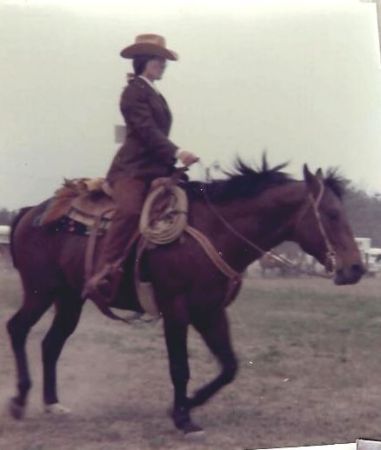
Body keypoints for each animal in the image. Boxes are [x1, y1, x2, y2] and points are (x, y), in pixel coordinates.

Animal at [5, 159, 362, 436]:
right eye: (331, 213)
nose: (356, 268)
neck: (214, 232)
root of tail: (31, 212)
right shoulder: (176, 307)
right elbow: (180, 366)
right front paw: (183, 418)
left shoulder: (210, 311)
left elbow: (229, 366)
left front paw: (186, 405)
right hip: (39, 291)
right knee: (17, 329)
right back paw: (19, 401)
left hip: (69, 299)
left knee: (51, 343)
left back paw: (52, 404)